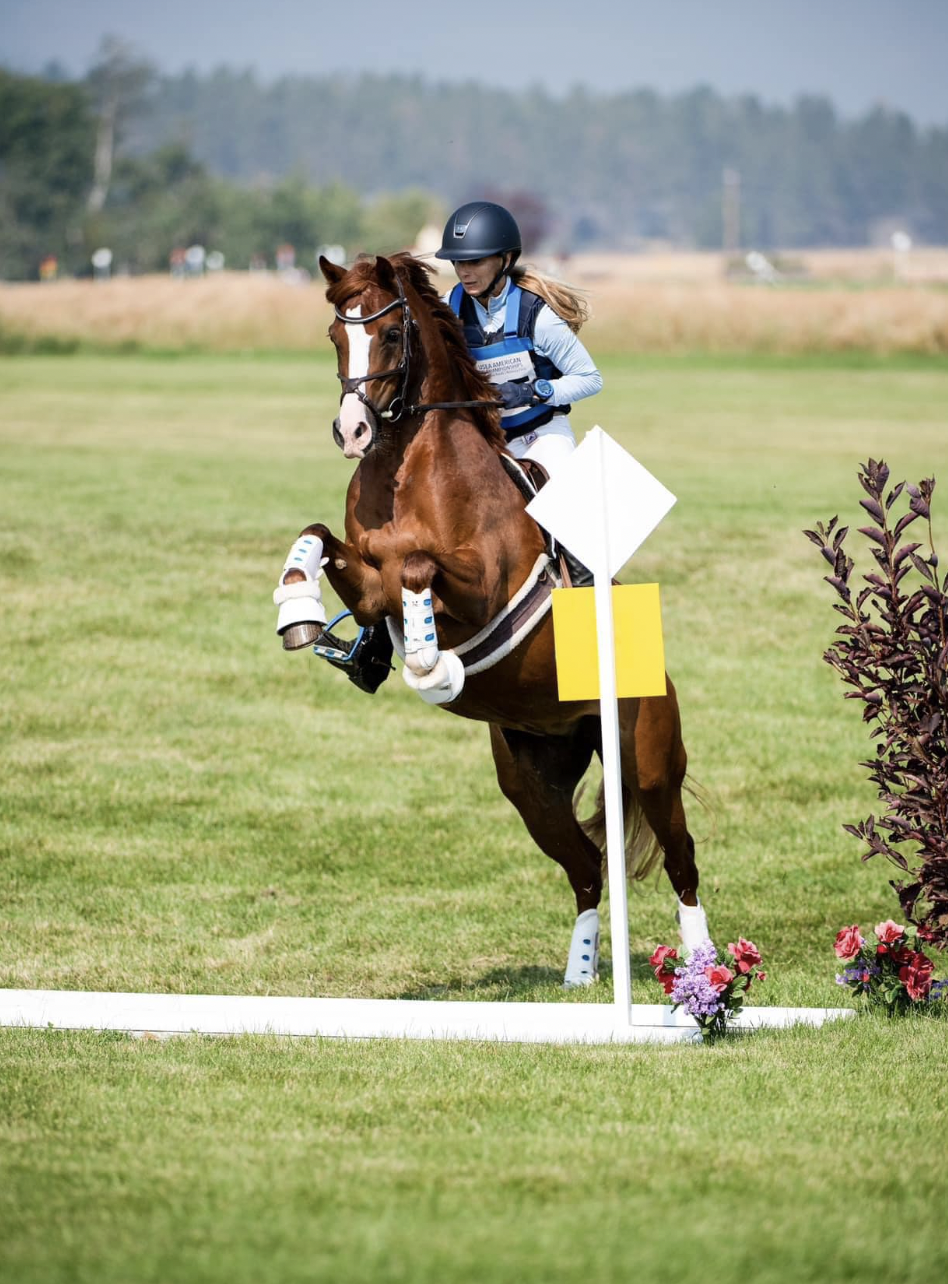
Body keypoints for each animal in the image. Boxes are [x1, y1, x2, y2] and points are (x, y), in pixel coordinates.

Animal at [273, 251, 709, 986]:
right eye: (336, 335)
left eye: (391, 334)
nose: (352, 433)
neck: (407, 465)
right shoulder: (366, 583)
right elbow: (325, 539)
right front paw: (298, 608)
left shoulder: (482, 587)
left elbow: (415, 563)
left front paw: (429, 660)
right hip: (531, 782)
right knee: (587, 868)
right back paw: (581, 974)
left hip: (647, 764)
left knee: (682, 861)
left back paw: (709, 968)